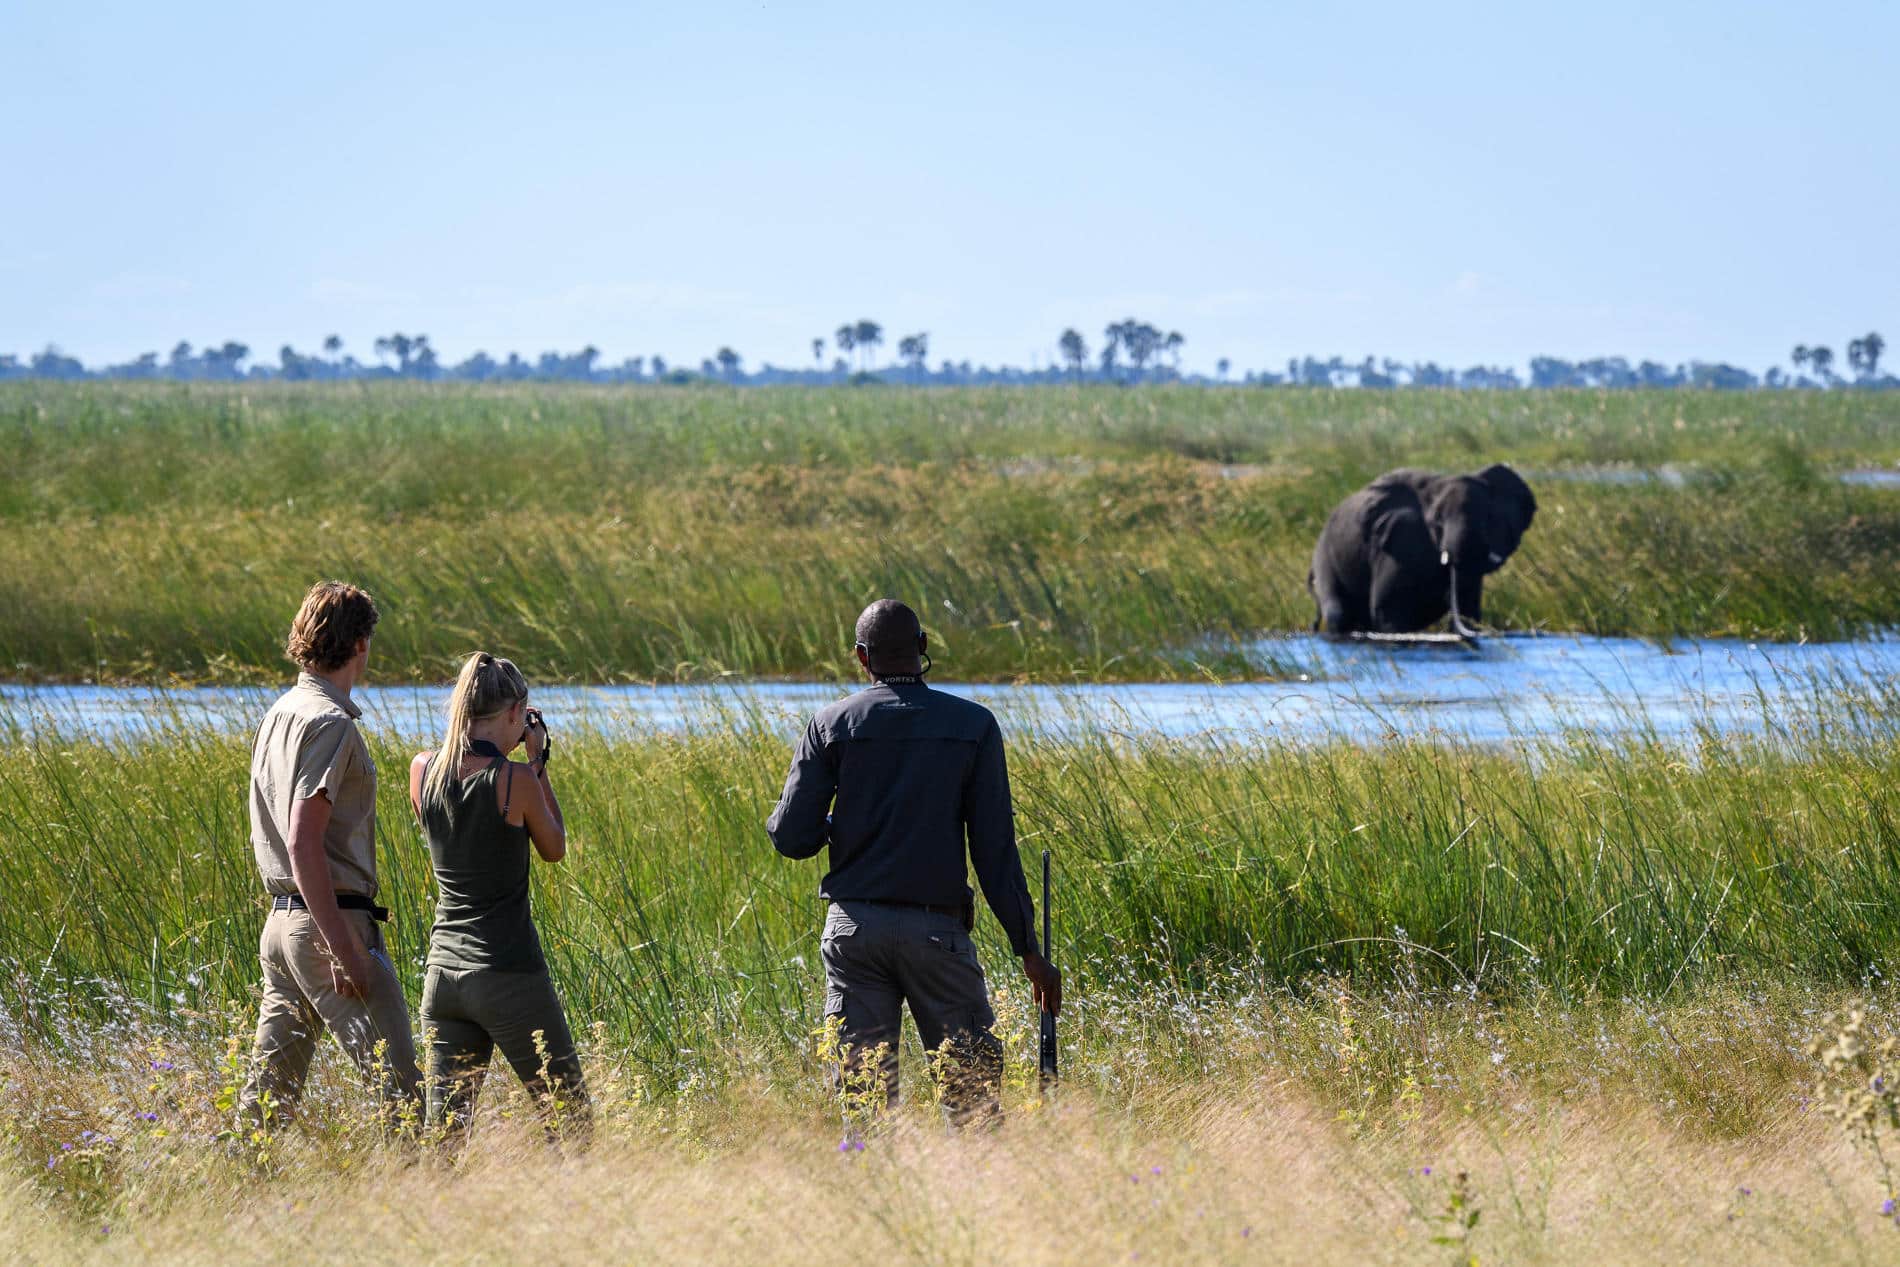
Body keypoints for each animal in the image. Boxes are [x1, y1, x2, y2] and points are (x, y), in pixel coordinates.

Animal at [1314, 463, 1535, 638]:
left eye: (1488, 518)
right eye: (1437, 520)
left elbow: (1468, 605)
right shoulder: (1400, 541)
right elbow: (1388, 607)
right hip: (1325, 555)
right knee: (1338, 613)